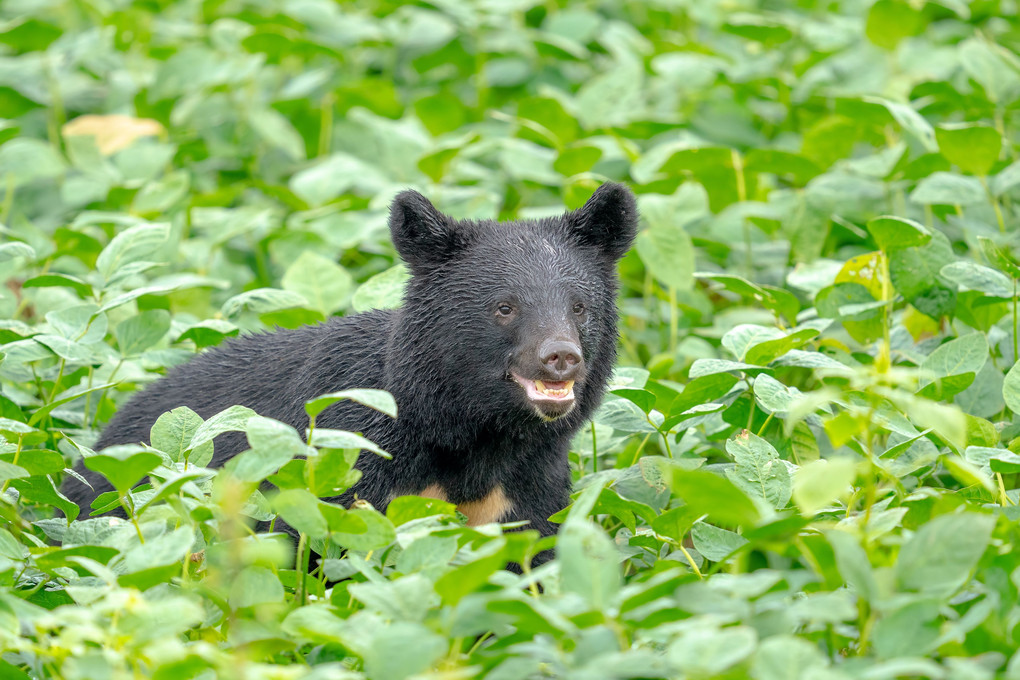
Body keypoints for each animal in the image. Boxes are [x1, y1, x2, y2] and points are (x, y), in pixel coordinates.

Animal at [59, 182, 632, 558]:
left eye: (579, 306)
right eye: (505, 307)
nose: (560, 355)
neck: (471, 436)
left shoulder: (530, 487)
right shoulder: (343, 460)